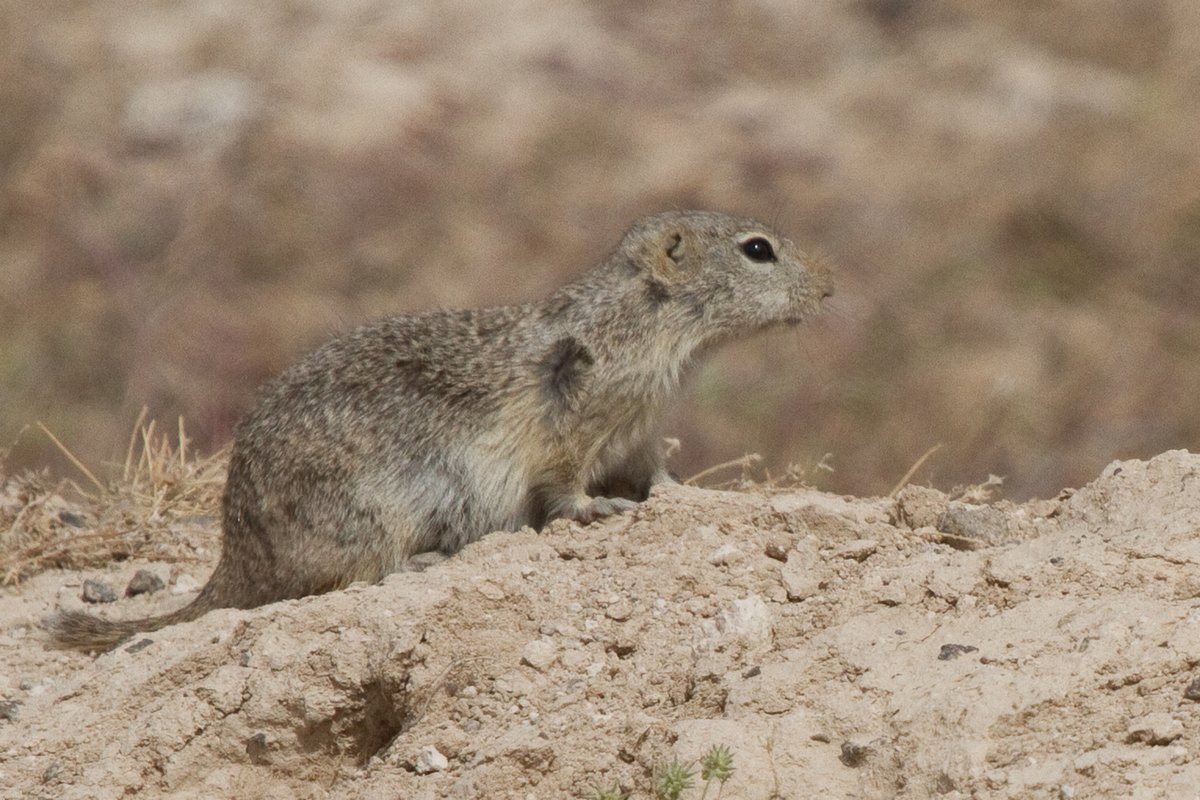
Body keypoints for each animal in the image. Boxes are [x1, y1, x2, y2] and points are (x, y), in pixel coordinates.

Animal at [46, 210, 833, 650]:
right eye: (757, 249)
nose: (830, 289)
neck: (655, 324)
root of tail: (235, 561)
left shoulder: (641, 428)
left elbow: (656, 473)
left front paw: (683, 494)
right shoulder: (576, 418)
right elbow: (564, 484)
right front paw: (597, 509)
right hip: (368, 512)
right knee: (347, 578)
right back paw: (419, 564)